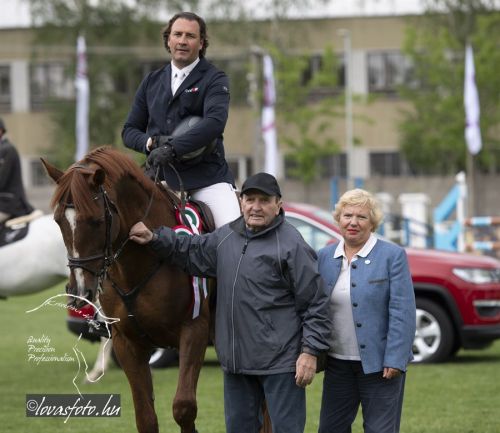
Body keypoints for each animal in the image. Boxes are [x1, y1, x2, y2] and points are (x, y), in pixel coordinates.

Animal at [42, 146, 212, 433]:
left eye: (97, 221)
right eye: (57, 221)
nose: (80, 291)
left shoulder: (195, 329)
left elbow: (184, 407)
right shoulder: (127, 342)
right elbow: (145, 417)